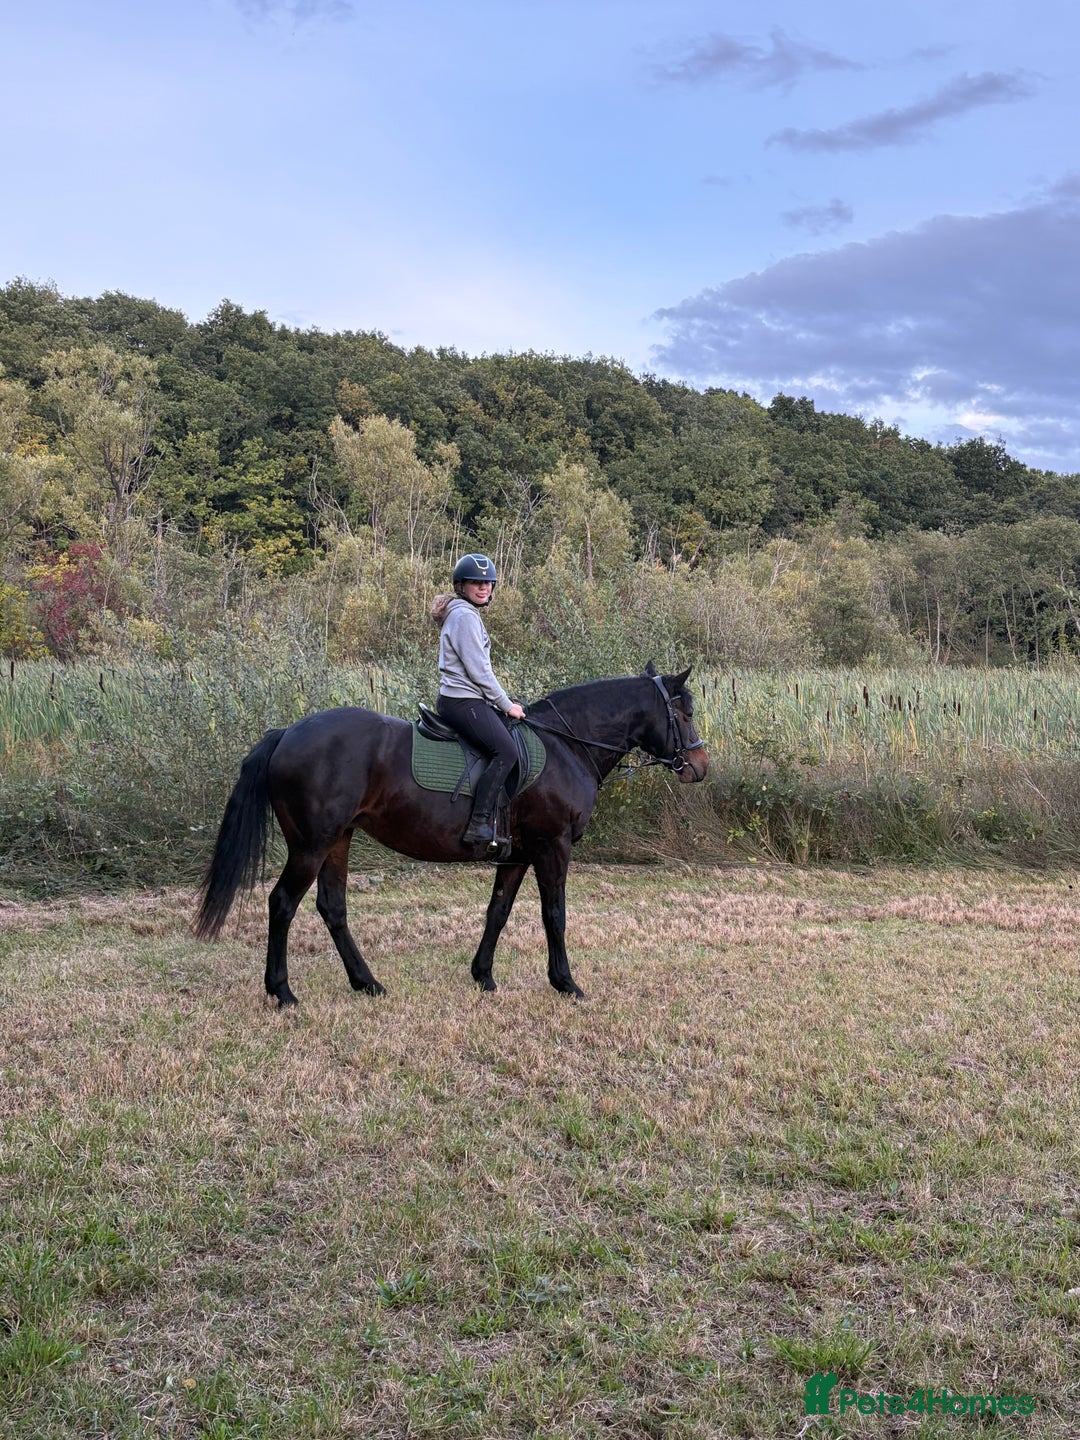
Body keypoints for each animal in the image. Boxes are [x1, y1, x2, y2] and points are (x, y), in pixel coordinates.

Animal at [193, 663, 709, 1005]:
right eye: (683, 713)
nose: (700, 767)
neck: (568, 746)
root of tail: (286, 733)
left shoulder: (518, 853)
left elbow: (498, 912)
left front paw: (483, 976)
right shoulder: (553, 846)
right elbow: (555, 916)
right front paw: (566, 984)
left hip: (337, 839)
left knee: (332, 908)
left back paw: (367, 984)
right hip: (311, 844)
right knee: (282, 903)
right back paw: (282, 992)